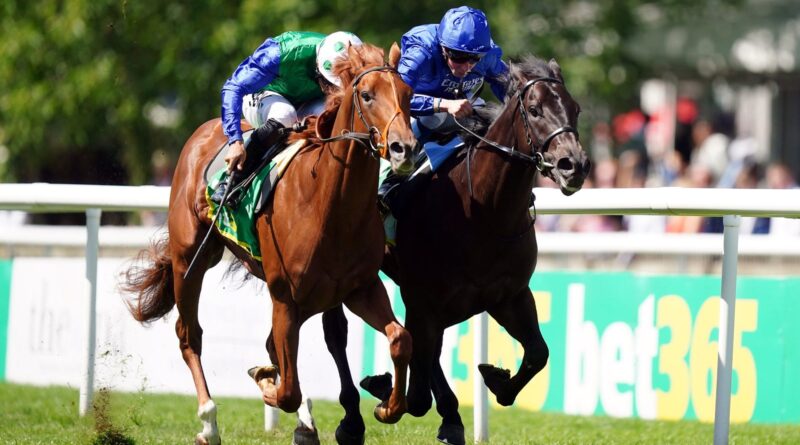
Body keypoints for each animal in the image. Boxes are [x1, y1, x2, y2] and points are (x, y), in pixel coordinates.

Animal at [123, 42, 418, 444]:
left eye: (407, 94)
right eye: (367, 95)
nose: (405, 148)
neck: (330, 204)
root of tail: (203, 131)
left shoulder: (360, 288)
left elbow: (400, 338)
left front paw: (387, 406)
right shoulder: (284, 296)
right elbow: (288, 389)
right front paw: (266, 382)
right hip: (190, 261)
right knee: (189, 335)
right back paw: (209, 422)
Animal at [322, 55, 592, 444]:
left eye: (576, 108)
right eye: (535, 109)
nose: (575, 165)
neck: (484, 211)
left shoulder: (508, 295)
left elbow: (537, 353)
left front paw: (496, 380)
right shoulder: (423, 299)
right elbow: (420, 379)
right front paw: (396, 396)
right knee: (337, 335)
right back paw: (352, 420)